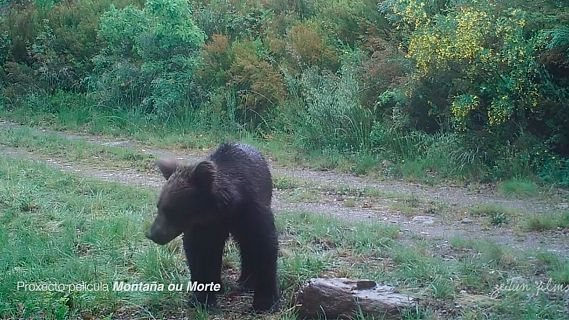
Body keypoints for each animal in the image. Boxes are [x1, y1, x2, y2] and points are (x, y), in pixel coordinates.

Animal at [146, 143, 280, 312]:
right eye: (159, 206)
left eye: (171, 210)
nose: (152, 234)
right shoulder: (203, 226)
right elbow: (199, 253)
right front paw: (202, 299)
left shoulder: (251, 214)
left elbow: (264, 247)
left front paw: (265, 302)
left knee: (246, 246)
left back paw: (245, 281)